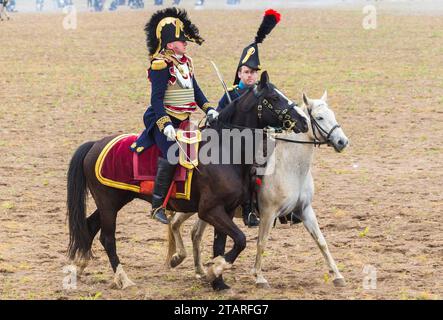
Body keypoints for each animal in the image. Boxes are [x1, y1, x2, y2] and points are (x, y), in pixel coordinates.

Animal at [67, 71, 308, 292]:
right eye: (274, 98)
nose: (303, 121)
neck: (225, 152)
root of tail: (96, 143)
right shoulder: (209, 210)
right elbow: (239, 240)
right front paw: (214, 270)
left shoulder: (227, 210)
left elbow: (220, 244)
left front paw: (218, 281)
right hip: (108, 203)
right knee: (107, 238)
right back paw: (123, 279)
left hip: (115, 200)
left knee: (90, 226)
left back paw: (79, 267)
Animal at [166, 91, 350, 288]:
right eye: (320, 117)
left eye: (333, 115)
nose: (342, 141)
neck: (292, 166)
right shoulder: (268, 212)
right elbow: (262, 242)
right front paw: (259, 276)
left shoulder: (305, 209)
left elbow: (321, 241)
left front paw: (337, 275)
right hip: (194, 206)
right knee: (176, 223)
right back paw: (179, 258)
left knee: (194, 233)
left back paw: (200, 270)